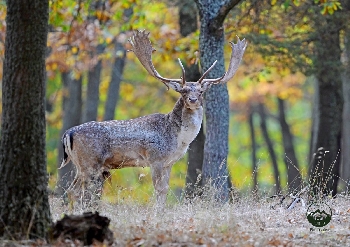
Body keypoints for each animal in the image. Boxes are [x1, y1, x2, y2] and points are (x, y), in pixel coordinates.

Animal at [60, 30, 246, 208]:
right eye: (183, 91)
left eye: (200, 91)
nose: (193, 100)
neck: (178, 139)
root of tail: (68, 133)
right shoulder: (155, 158)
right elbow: (159, 189)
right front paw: (158, 212)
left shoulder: (169, 162)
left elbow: (166, 189)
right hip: (89, 162)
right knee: (78, 190)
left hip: (81, 164)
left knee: (72, 190)